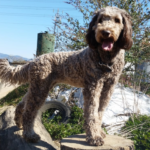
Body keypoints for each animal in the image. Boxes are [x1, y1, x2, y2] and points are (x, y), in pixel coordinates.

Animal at [0, 6, 132, 146]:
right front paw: (94, 136)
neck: (107, 59)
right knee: (29, 112)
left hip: (39, 86)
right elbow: (91, 112)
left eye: (117, 20)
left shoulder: (108, 87)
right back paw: (30, 135)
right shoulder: (93, 86)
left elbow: (100, 112)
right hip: (40, 89)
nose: (105, 32)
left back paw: (19, 124)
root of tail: (34, 61)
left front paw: (99, 132)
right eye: (100, 19)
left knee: (22, 104)